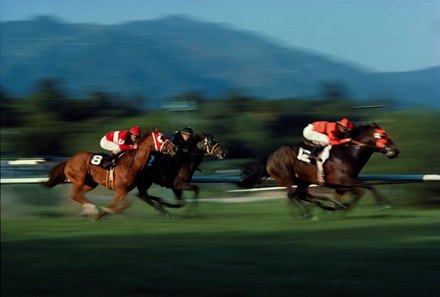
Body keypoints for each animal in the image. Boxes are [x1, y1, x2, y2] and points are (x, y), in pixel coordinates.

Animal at [41, 127, 175, 220]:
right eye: (162, 138)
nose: (174, 148)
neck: (132, 164)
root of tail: (69, 160)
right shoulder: (121, 189)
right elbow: (122, 204)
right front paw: (102, 213)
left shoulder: (123, 190)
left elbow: (119, 203)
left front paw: (102, 214)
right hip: (79, 179)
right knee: (74, 194)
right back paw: (93, 209)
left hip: (90, 183)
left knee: (79, 195)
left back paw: (89, 209)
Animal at [239, 121, 400, 216]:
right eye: (384, 135)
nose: (396, 151)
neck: (347, 155)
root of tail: (270, 157)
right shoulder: (343, 180)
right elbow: (367, 187)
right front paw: (384, 205)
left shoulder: (343, 184)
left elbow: (360, 192)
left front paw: (339, 207)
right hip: (287, 177)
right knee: (292, 195)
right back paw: (307, 213)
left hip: (302, 181)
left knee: (300, 195)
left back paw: (320, 207)